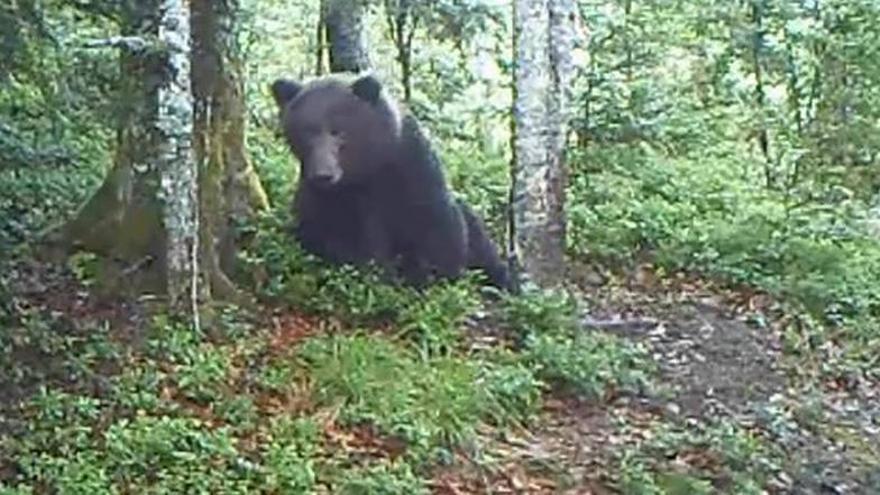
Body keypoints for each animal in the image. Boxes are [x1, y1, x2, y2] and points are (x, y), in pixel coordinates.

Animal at [270, 73, 511, 291]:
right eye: (306, 132)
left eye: (338, 131)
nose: (323, 174)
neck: (367, 172)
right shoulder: (330, 200)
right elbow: (327, 234)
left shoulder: (410, 169)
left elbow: (435, 226)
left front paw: (431, 276)